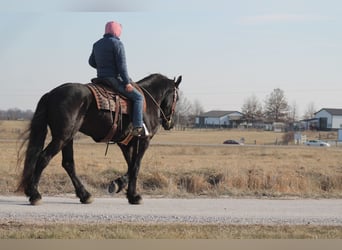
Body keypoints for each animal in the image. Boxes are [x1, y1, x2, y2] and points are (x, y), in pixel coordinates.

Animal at [18, 73, 182, 205]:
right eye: (177, 98)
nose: (170, 123)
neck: (148, 101)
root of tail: (51, 94)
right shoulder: (143, 141)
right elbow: (136, 166)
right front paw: (133, 195)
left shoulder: (126, 143)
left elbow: (130, 165)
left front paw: (123, 188)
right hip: (61, 137)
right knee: (44, 158)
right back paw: (35, 194)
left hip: (68, 138)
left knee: (68, 163)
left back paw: (84, 195)